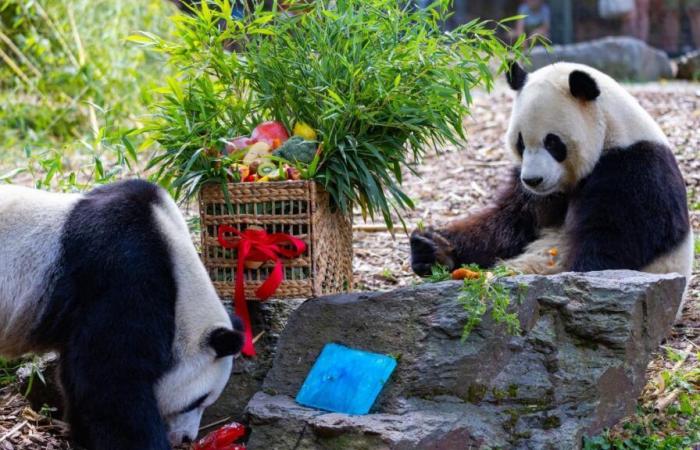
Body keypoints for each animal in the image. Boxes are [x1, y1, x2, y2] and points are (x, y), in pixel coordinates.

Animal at [410, 61, 696, 310]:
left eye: (553, 142)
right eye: (520, 143)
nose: (533, 180)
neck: (611, 134)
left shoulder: (635, 172)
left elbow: (611, 247)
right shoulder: (534, 193)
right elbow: (508, 225)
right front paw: (432, 247)